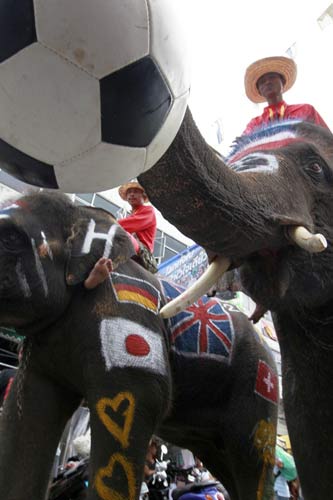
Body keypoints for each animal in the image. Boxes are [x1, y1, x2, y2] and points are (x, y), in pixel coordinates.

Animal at [0, 191, 276, 500]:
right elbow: (26, 414)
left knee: (252, 455)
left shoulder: (124, 316)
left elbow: (140, 400)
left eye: (10, 238)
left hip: (258, 381)